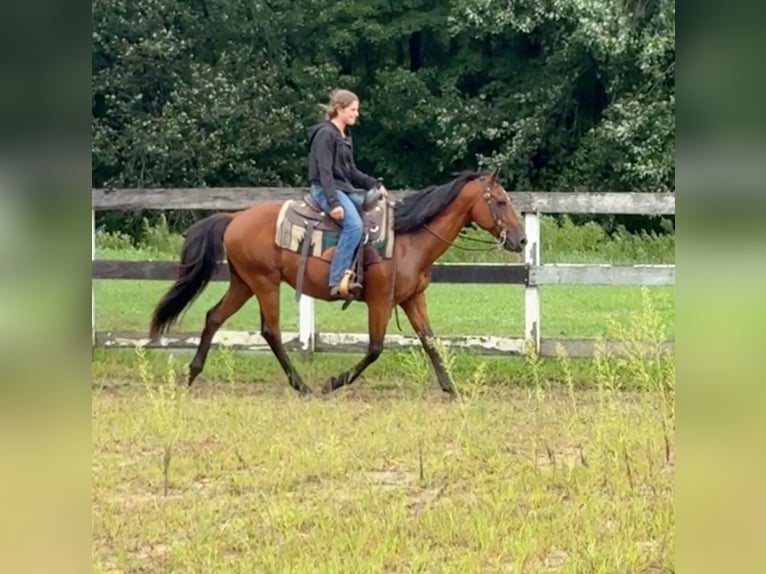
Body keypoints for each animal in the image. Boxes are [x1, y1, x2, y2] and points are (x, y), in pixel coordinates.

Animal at [148, 169, 528, 398]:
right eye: (500, 201)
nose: (522, 240)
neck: (409, 239)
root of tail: (233, 218)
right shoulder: (380, 301)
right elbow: (375, 348)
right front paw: (334, 382)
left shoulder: (412, 299)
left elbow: (431, 341)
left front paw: (451, 388)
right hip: (264, 283)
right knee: (270, 331)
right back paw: (301, 385)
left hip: (243, 283)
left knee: (213, 317)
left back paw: (192, 373)